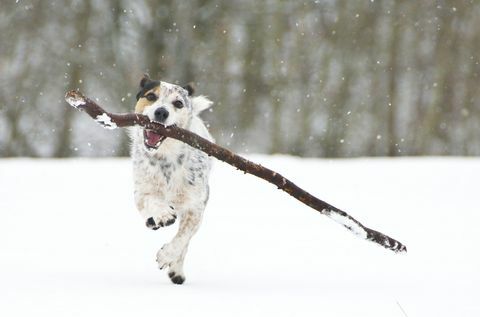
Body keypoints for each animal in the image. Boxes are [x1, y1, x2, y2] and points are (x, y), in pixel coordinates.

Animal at [131, 74, 214, 284]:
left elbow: (183, 238)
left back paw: (176, 270)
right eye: (151, 96)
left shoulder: (195, 207)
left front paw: (167, 256)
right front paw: (162, 214)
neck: (166, 160)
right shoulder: (141, 192)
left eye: (178, 103)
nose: (161, 112)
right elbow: (151, 201)